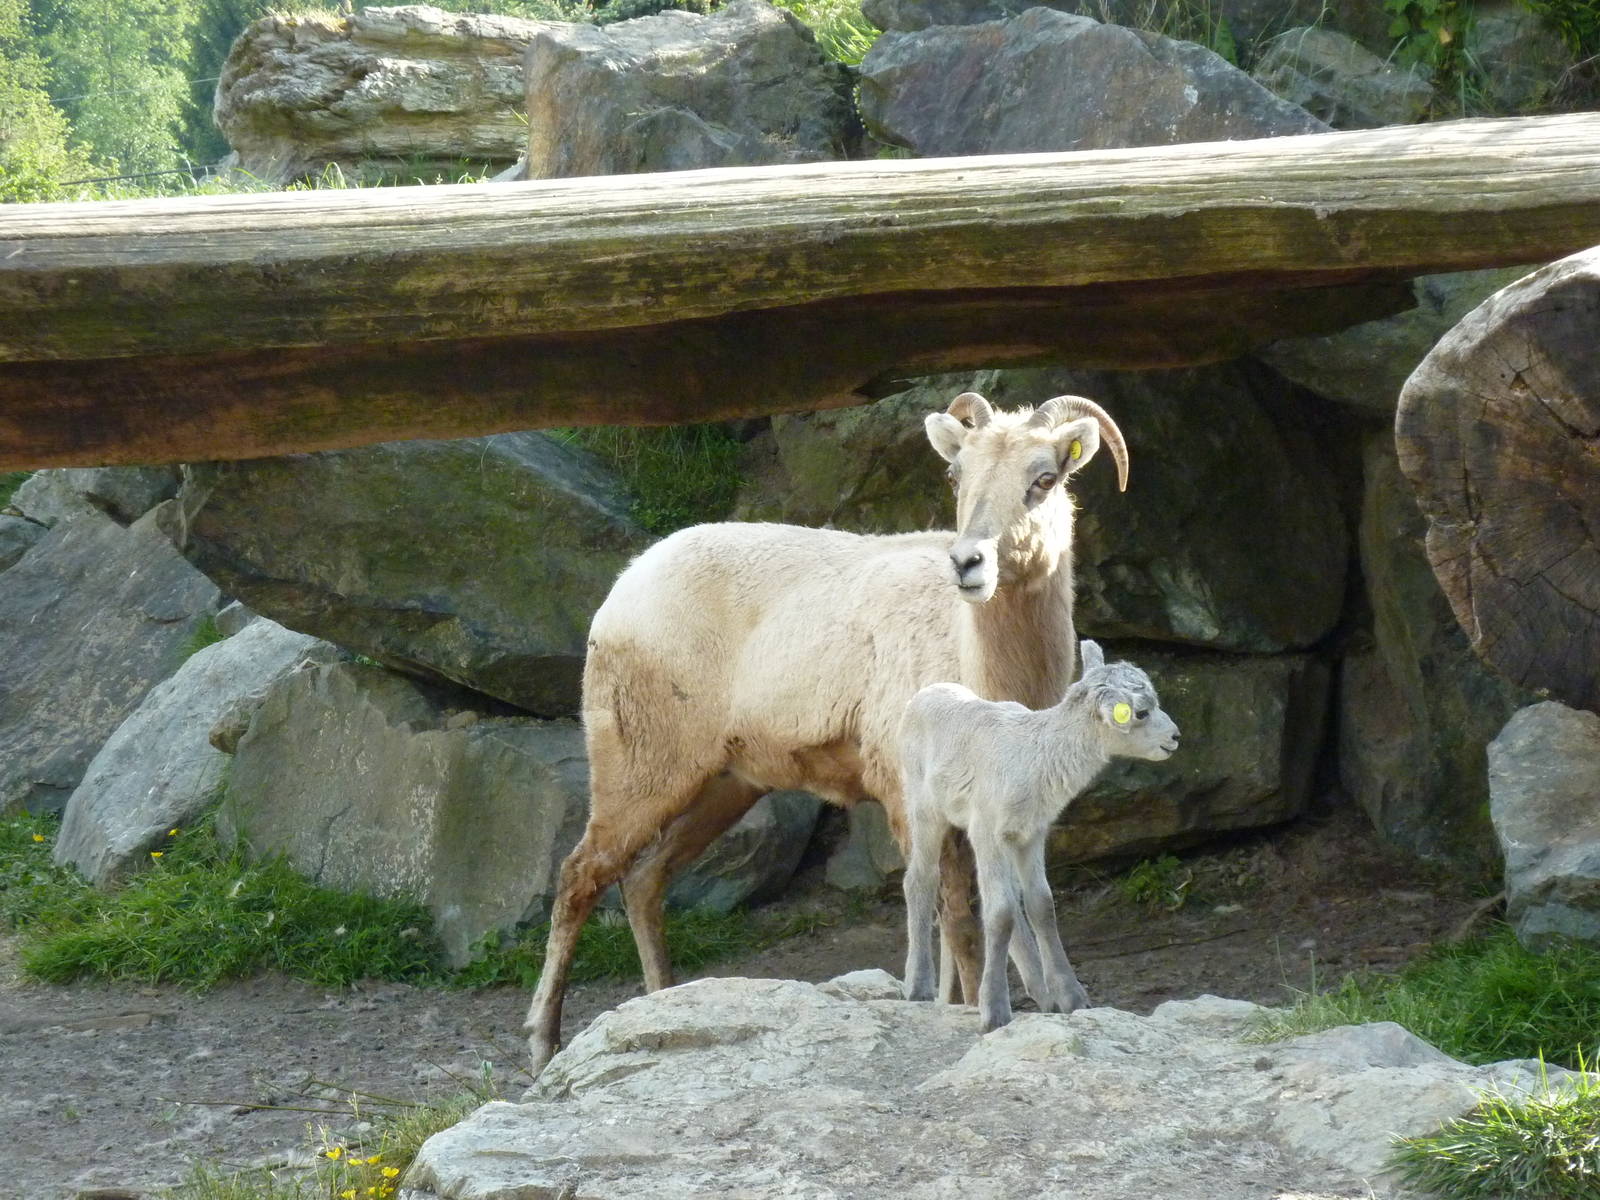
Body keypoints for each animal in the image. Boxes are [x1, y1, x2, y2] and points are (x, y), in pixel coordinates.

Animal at [523, 391, 1130, 1072]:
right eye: (957, 475)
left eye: (1043, 479)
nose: (968, 563)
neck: (983, 668)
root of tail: (626, 585)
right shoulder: (911, 800)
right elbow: (957, 920)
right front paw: (971, 1009)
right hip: (638, 766)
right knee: (579, 878)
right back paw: (542, 1048)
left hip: (725, 782)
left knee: (644, 881)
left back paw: (660, 1004)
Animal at [899, 639, 1180, 1032]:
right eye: (1140, 712)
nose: (1175, 737)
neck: (1033, 757)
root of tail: (924, 694)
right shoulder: (987, 831)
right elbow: (1000, 913)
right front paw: (994, 1012)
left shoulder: (1030, 834)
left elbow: (1040, 905)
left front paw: (1073, 998)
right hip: (923, 806)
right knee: (920, 880)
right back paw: (918, 987)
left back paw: (1042, 994)